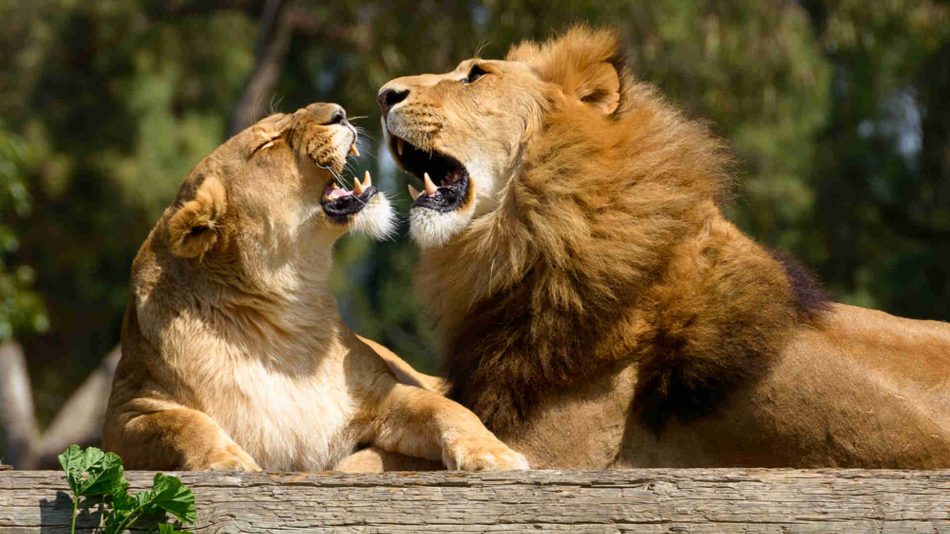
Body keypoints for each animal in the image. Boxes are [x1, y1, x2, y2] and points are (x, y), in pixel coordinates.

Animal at [106, 101, 536, 474]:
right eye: (267, 143)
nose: (340, 112)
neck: (286, 319)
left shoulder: (382, 392)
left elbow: (446, 410)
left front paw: (493, 454)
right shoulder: (126, 414)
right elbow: (179, 425)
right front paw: (227, 461)